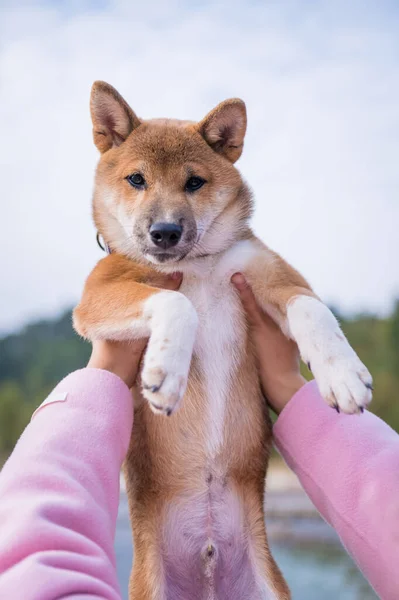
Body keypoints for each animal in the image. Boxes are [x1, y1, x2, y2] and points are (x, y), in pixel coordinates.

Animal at [75, 83, 376, 600]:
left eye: (194, 182)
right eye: (136, 179)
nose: (165, 232)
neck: (196, 264)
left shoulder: (276, 276)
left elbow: (313, 311)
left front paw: (342, 374)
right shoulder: (97, 296)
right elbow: (179, 303)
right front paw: (166, 373)